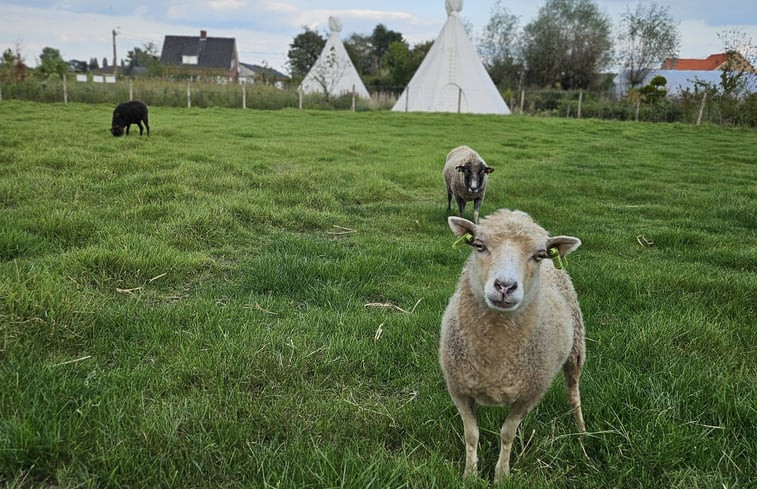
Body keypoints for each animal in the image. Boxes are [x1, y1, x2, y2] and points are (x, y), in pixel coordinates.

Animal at [440, 208, 588, 478]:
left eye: (538, 255)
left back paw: (581, 432)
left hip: (576, 348)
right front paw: (470, 474)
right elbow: (471, 434)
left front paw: (501, 474)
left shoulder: (530, 393)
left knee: (574, 394)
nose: (505, 286)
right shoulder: (458, 388)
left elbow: (507, 433)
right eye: (479, 245)